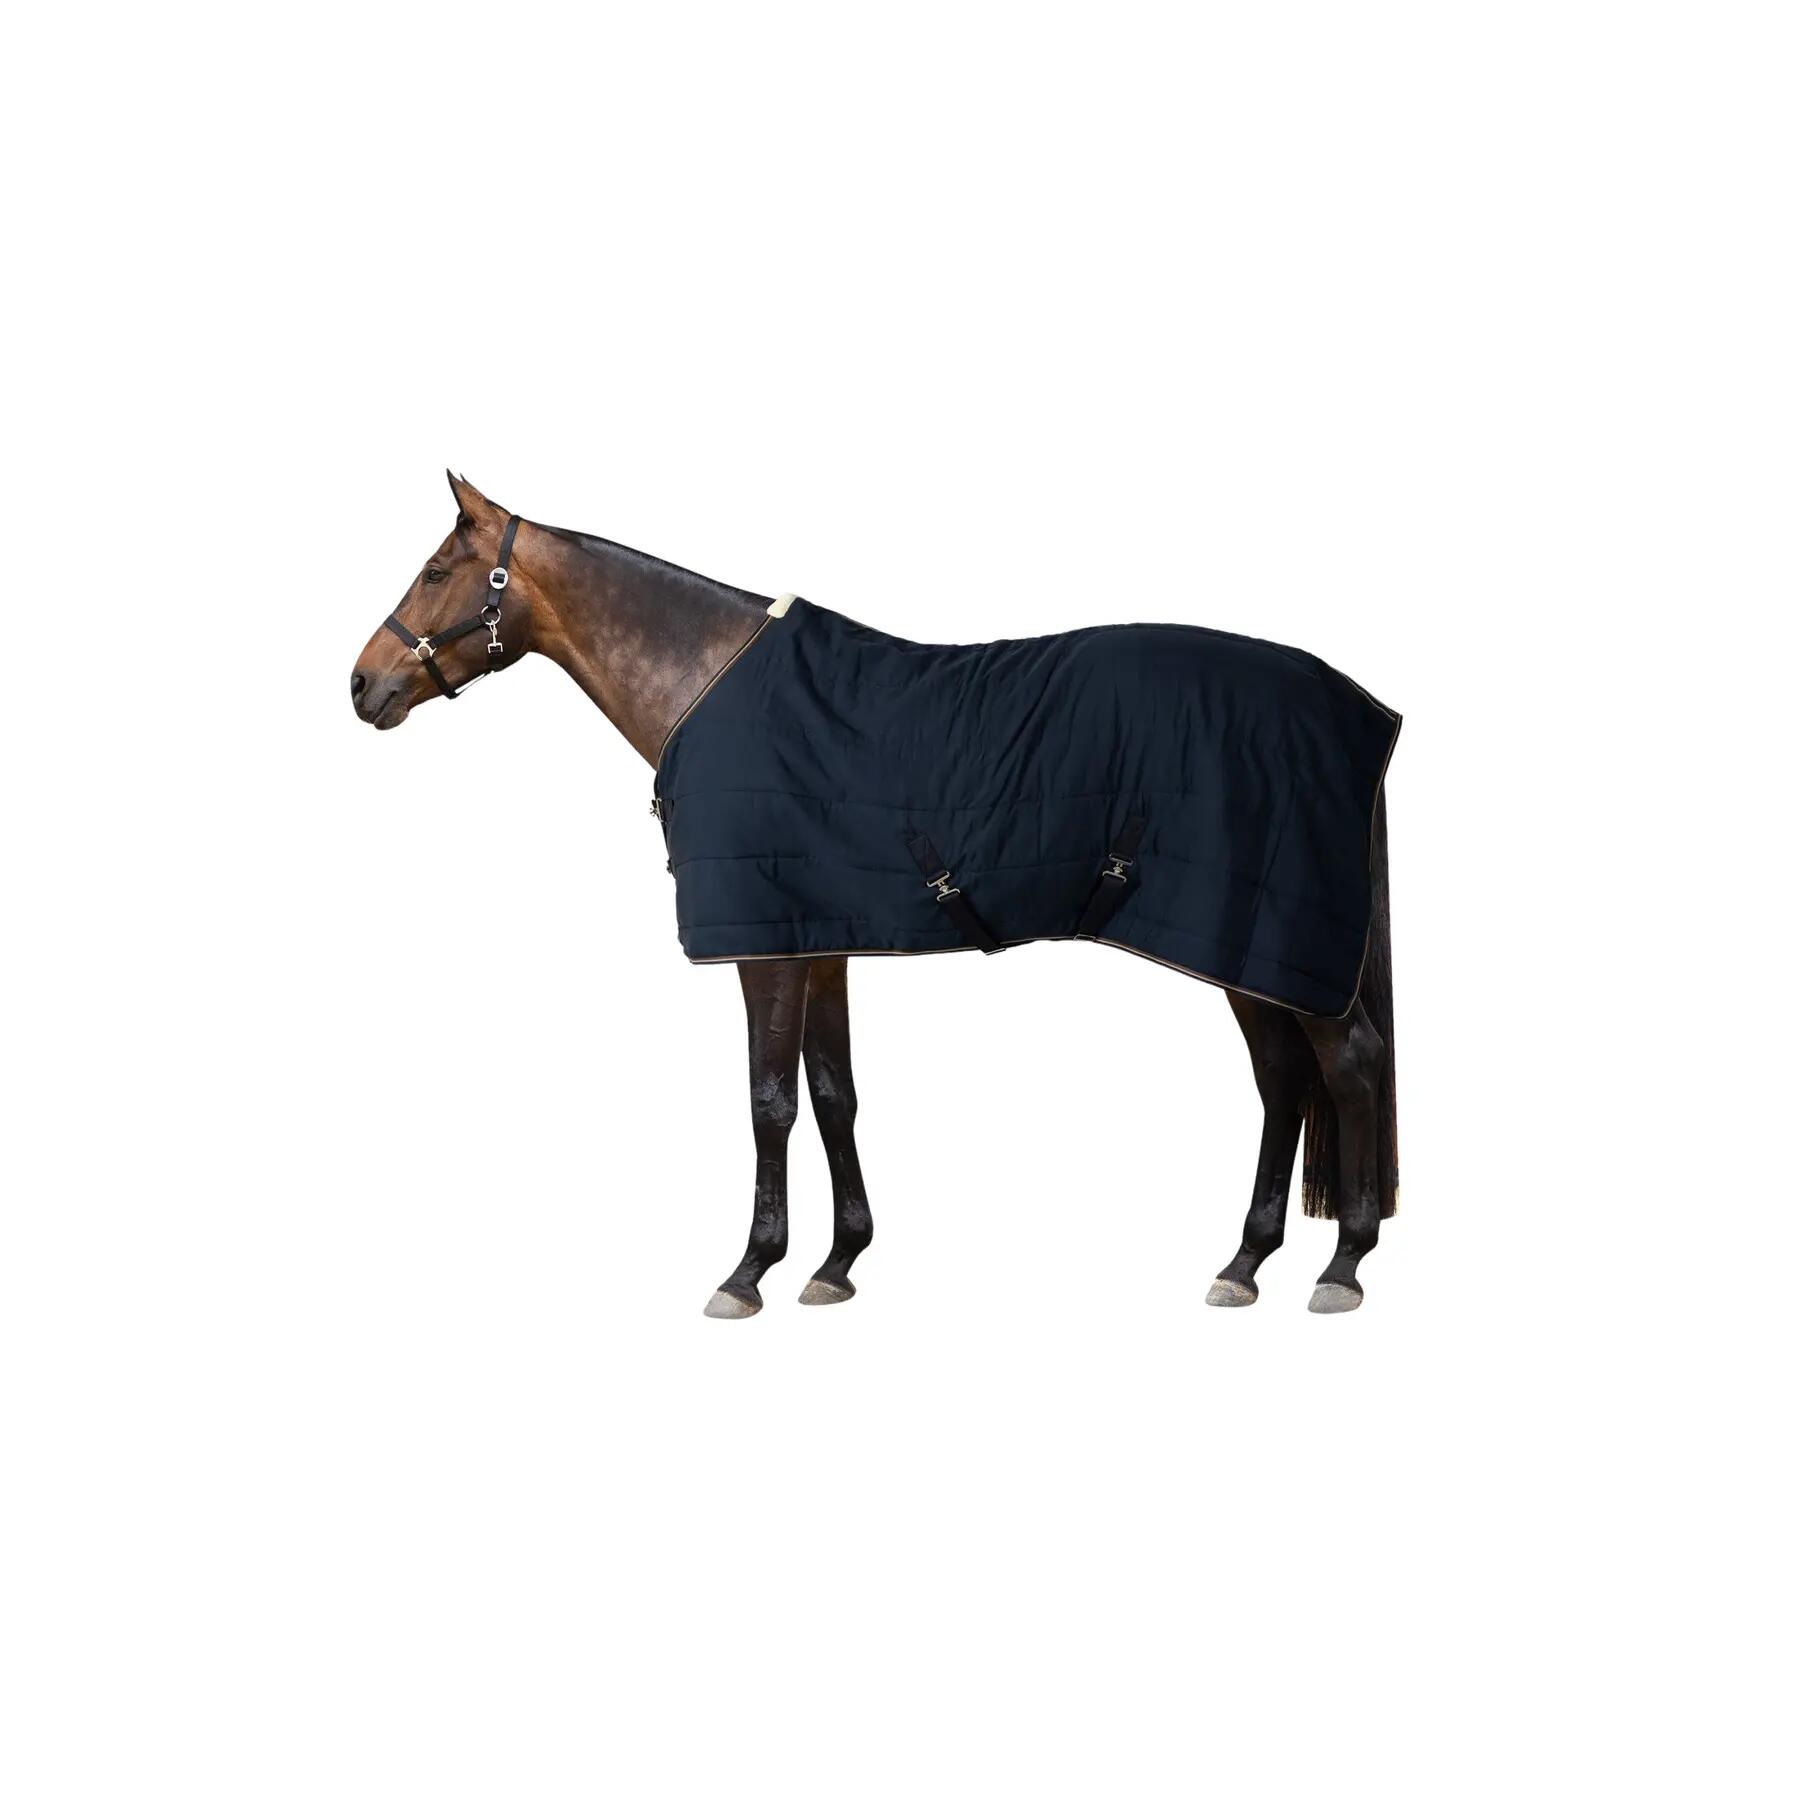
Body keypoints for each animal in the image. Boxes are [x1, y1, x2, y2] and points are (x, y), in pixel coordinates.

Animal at [350, 473, 1399, 1316]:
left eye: (437, 573)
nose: (362, 685)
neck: (708, 682)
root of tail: (1354, 707)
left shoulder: (764, 948)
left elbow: (769, 1100)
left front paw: (749, 1272)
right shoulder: (821, 942)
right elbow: (834, 1094)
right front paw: (837, 1262)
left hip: (1265, 938)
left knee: (1347, 1065)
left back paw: (1342, 1265)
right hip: (1243, 943)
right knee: (1283, 1079)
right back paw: (1246, 1262)